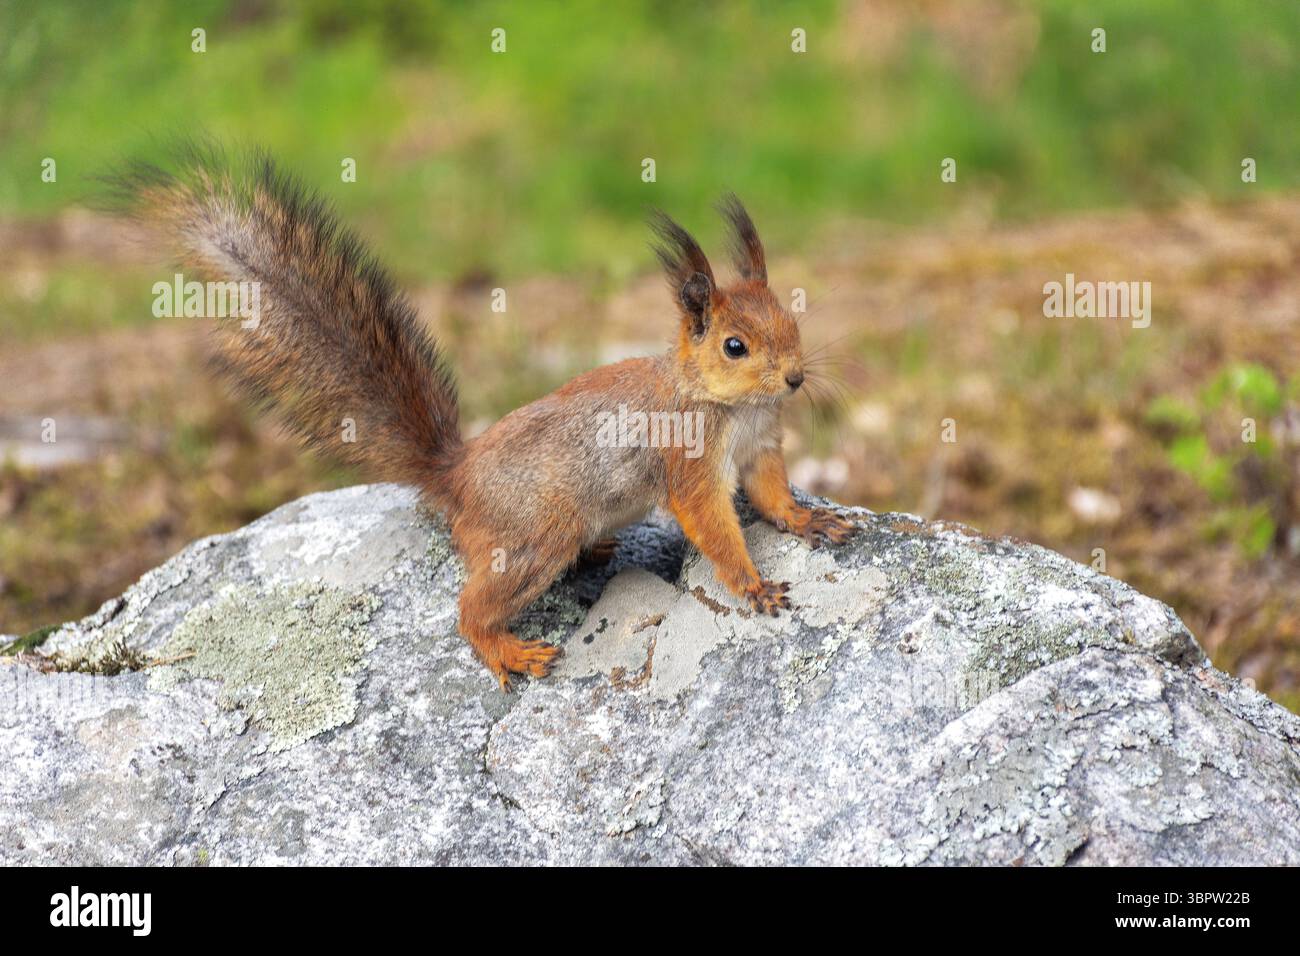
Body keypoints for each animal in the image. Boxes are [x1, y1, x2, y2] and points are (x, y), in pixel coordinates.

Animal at [112, 146, 856, 689]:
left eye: (792, 320)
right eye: (734, 346)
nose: (795, 377)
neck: (734, 407)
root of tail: (456, 479)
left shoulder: (761, 449)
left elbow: (771, 495)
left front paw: (809, 520)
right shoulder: (691, 462)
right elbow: (714, 525)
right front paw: (752, 585)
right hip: (536, 535)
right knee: (469, 611)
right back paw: (508, 652)